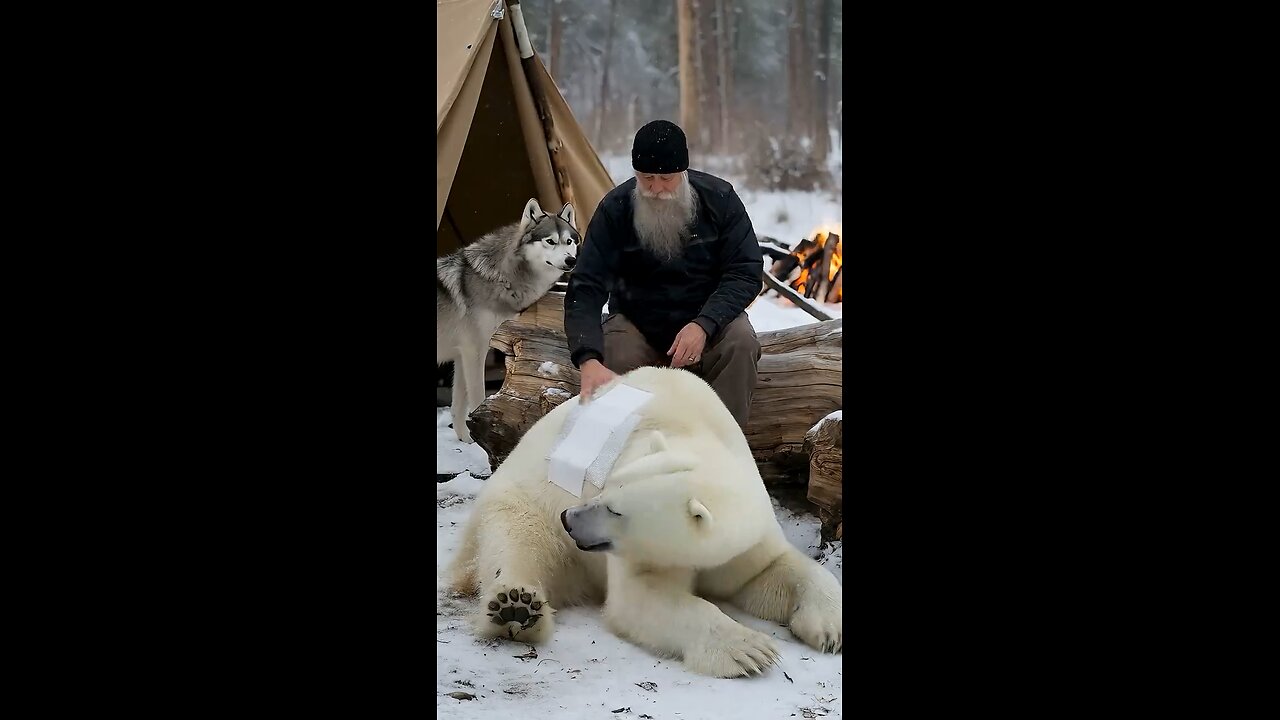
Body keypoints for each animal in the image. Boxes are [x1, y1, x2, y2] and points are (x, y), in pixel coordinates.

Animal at [445, 366, 844, 676]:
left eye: (615, 509)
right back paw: (516, 607)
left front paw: (830, 628)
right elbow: (642, 597)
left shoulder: (746, 538)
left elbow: (771, 572)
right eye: (604, 489)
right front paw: (749, 648)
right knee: (515, 543)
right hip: (522, 501)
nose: (569, 519)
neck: (695, 433)